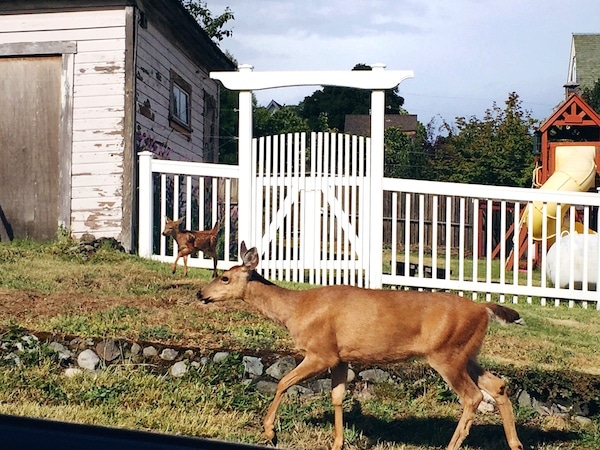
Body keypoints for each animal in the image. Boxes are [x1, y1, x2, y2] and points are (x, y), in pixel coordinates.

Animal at [198, 243, 524, 450]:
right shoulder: (341, 357)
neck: (296, 310)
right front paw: (337, 443)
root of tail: (483, 309)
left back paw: (452, 445)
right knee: (498, 385)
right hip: (466, 353)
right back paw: (516, 444)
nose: (201, 293)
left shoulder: (321, 352)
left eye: (224, 277)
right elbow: (337, 397)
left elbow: (282, 383)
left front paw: (270, 432)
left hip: (446, 353)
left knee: (472, 396)